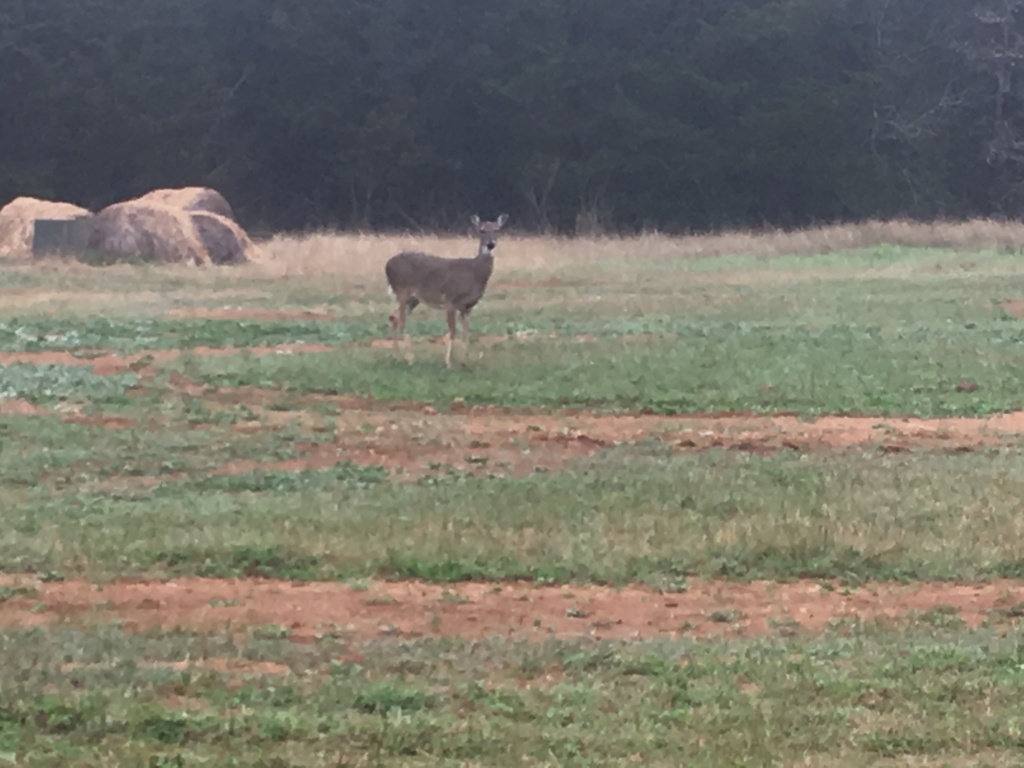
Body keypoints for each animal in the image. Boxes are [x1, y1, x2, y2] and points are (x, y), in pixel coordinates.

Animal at [385, 213, 509, 368]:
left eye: (497, 230)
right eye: (482, 230)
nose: (490, 244)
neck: (474, 272)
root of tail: (387, 265)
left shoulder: (468, 306)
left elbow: (466, 333)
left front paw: (465, 362)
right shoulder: (451, 300)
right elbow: (453, 331)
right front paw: (449, 363)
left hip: (414, 299)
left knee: (393, 317)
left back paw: (397, 357)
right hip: (402, 291)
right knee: (401, 321)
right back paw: (409, 359)